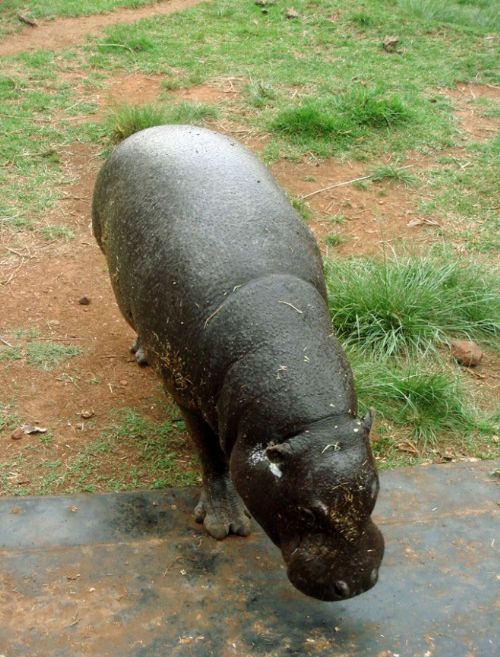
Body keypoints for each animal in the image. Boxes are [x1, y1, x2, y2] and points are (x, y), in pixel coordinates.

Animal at [93, 124, 382, 600]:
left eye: (373, 491)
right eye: (307, 511)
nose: (357, 581)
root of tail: (157, 128)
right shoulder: (188, 397)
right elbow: (211, 454)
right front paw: (223, 525)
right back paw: (141, 352)